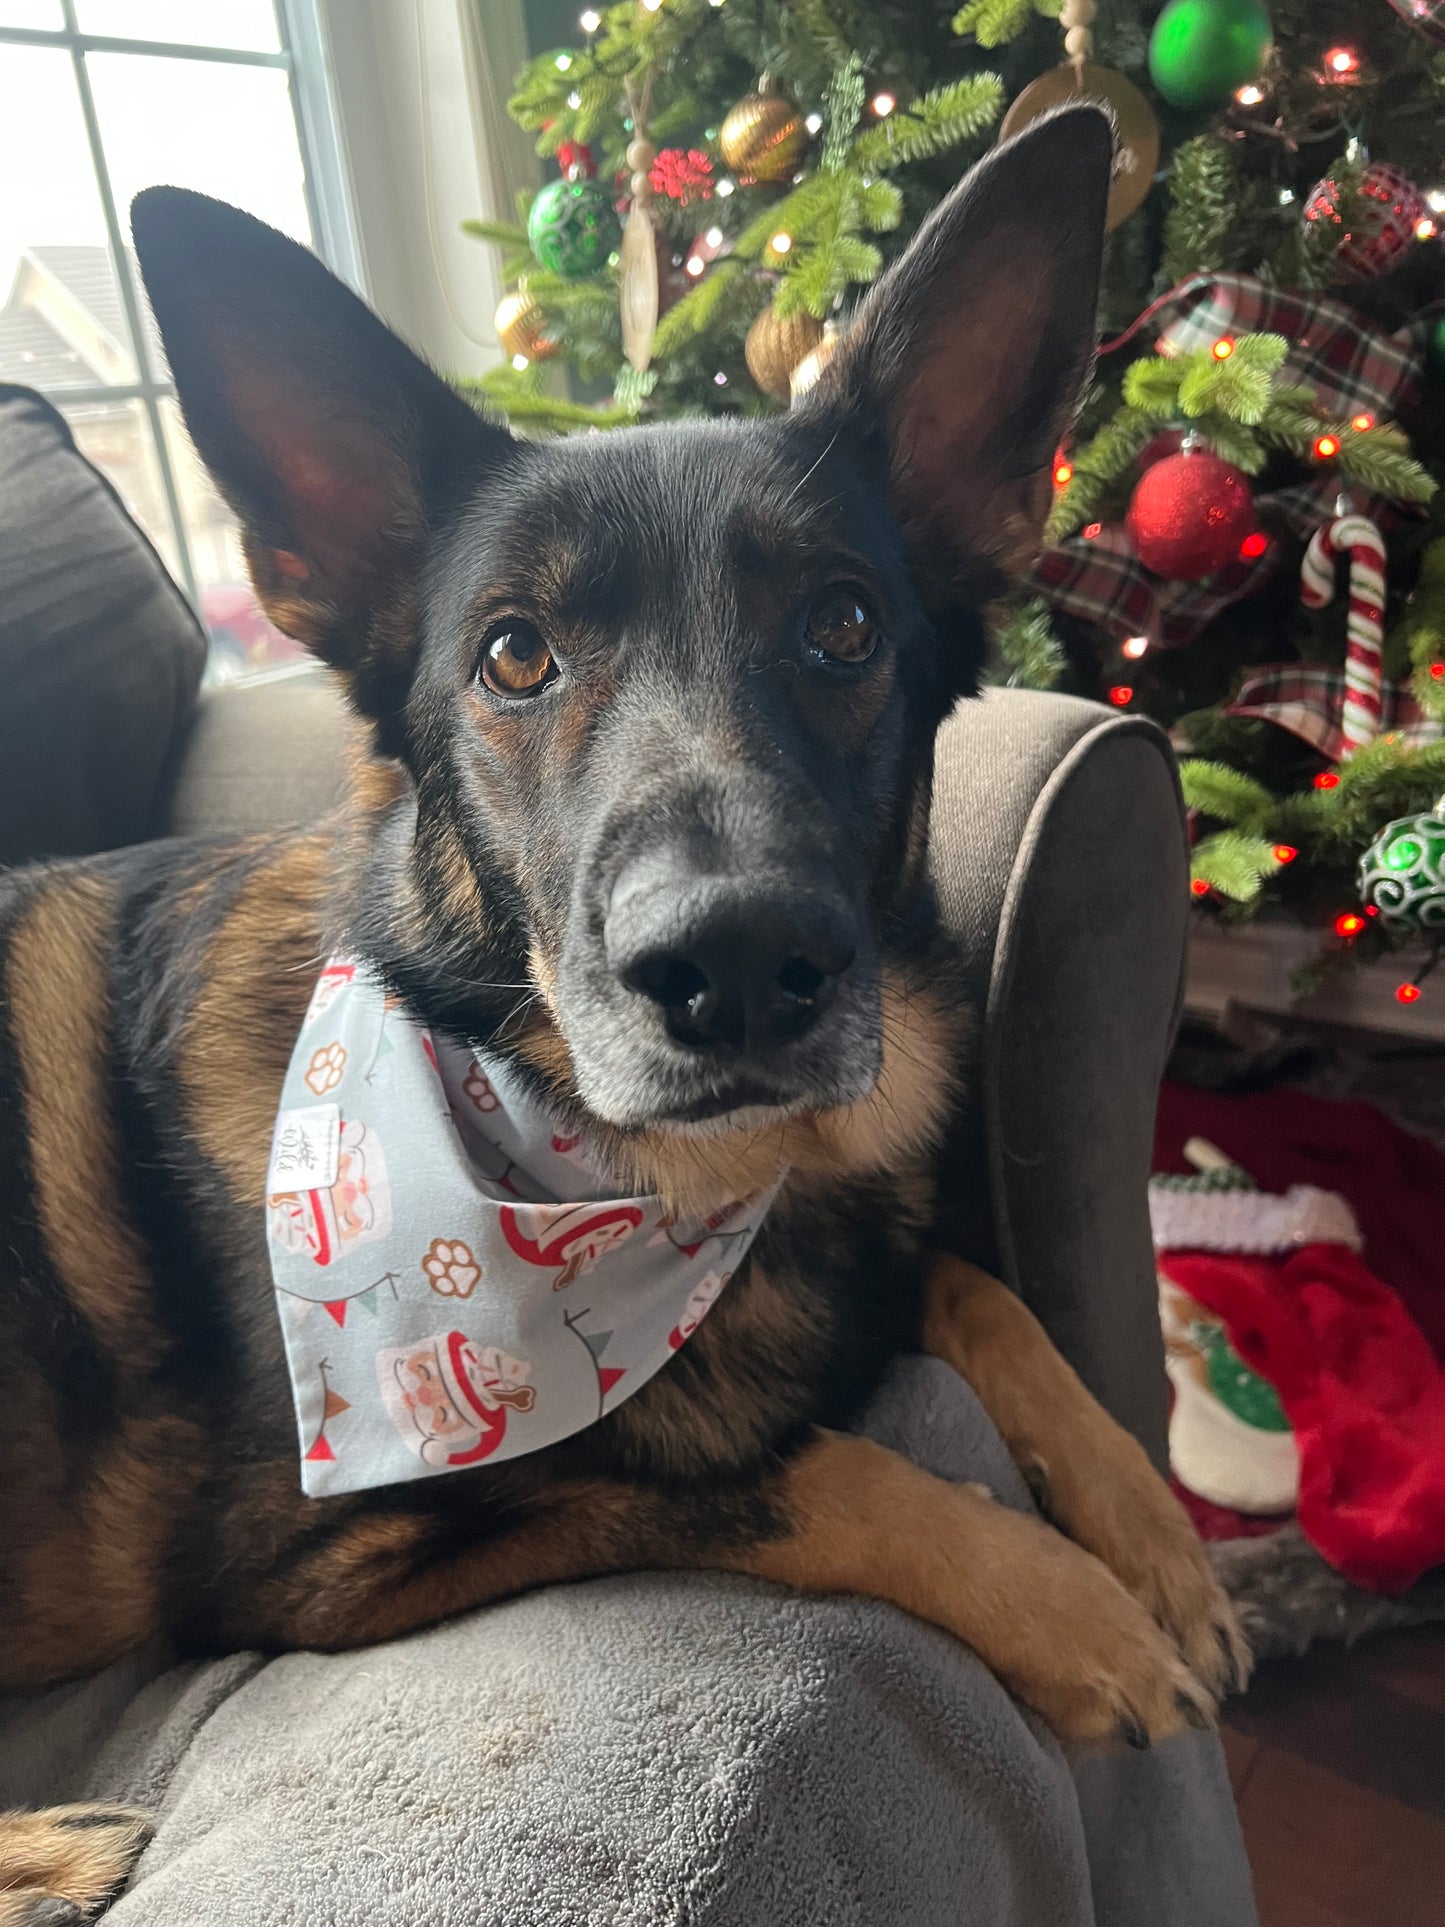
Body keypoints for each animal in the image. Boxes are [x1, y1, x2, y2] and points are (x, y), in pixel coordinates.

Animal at [2, 112, 1248, 1919]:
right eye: (514, 656)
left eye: (843, 626)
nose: (732, 969)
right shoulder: (351, 1547)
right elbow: (779, 1465)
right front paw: (1076, 1607)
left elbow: (976, 1285)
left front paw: (1151, 1539)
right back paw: (51, 1847)